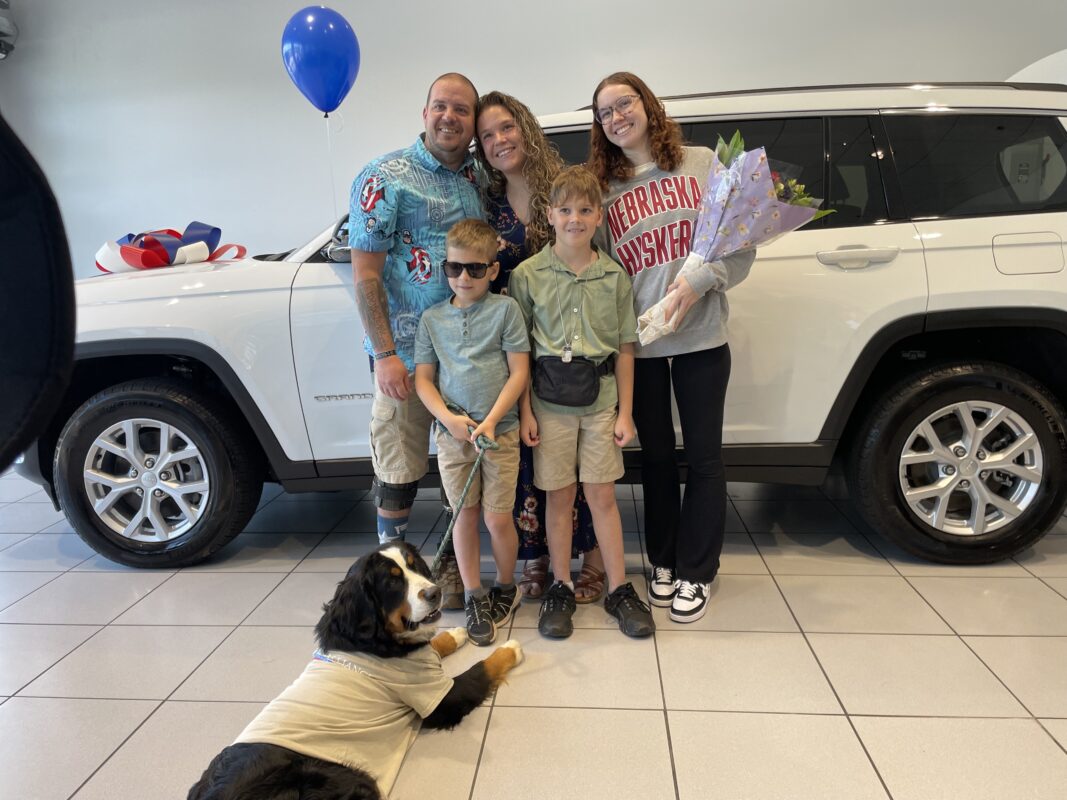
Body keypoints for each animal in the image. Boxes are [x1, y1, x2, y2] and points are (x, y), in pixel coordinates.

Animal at [187, 541, 523, 799]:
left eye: (416, 567)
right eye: (392, 582)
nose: (435, 592)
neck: (372, 638)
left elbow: (434, 646)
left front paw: (453, 634)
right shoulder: (438, 697)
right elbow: (479, 669)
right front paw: (511, 649)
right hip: (344, 779)